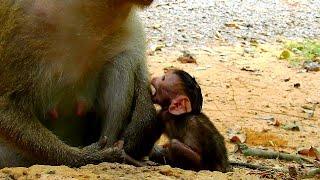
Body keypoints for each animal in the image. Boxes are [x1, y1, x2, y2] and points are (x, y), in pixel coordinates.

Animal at [0, 0, 162, 167]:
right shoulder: (22, 20)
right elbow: (7, 106)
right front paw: (87, 156)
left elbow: (134, 54)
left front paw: (144, 124)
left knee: (121, 60)